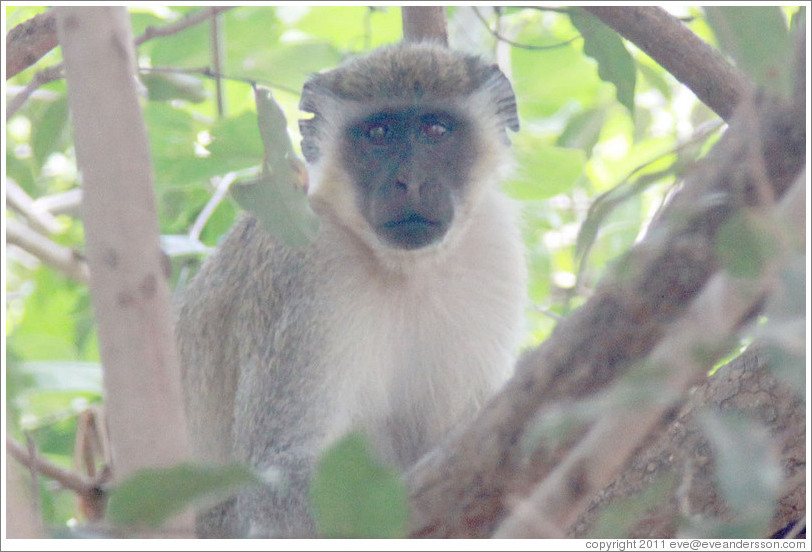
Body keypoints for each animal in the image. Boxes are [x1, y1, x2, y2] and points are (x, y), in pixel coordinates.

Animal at [178, 43, 528, 540]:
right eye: (378, 133)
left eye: (436, 130)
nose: (411, 181)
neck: (404, 270)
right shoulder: (306, 263)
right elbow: (276, 478)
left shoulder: (493, 250)